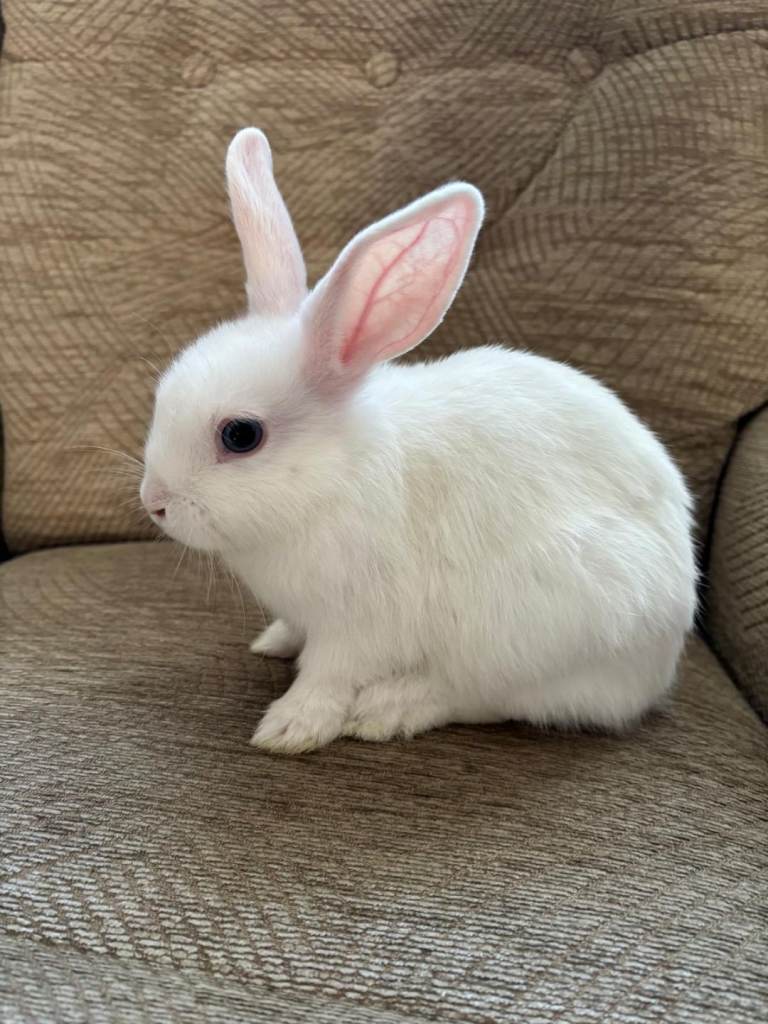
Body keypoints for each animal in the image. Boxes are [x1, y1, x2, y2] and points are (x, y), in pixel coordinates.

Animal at [140, 127, 697, 755]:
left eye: (240, 435)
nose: (154, 503)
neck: (333, 479)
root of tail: (659, 663)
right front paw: (274, 642)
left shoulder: (356, 627)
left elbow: (326, 678)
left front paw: (290, 728)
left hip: (534, 636)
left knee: (477, 699)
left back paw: (388, 709)